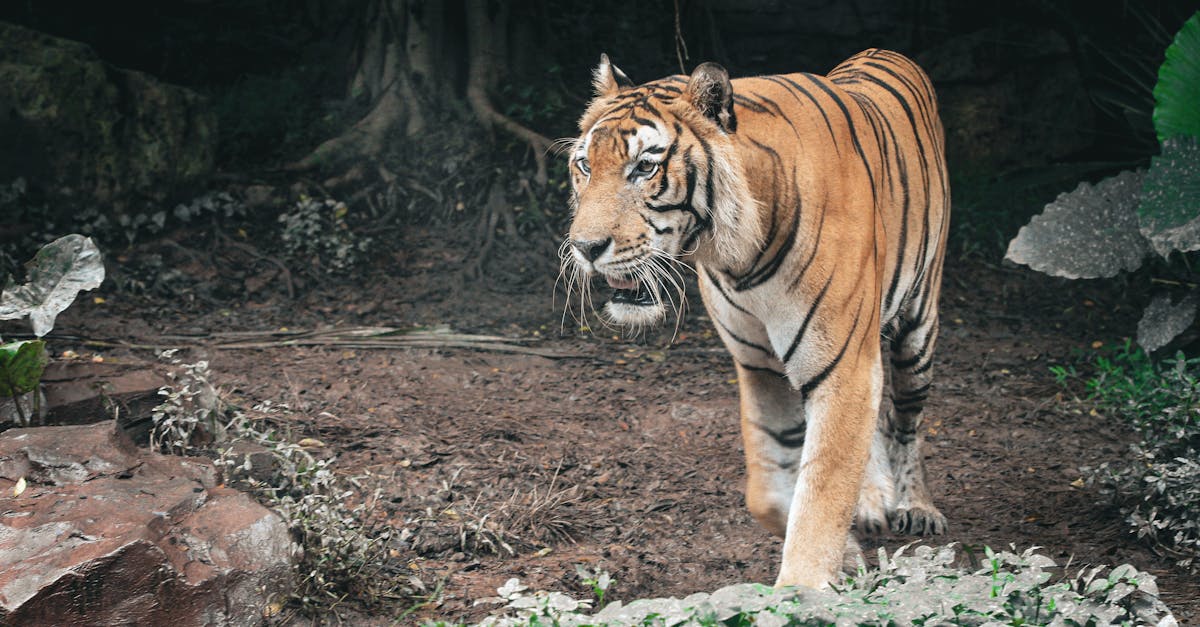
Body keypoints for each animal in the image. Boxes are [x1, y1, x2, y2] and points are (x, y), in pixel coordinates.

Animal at [561, 49, 950, 589]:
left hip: (917, 331)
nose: (585, 247)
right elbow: (770, 493)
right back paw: (872, 502)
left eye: (644, 167)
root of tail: (885, 51)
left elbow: (822, 485)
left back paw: (917, 506)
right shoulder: (760, 365)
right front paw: (848, 556)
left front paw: (805, 586)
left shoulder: (841, 365)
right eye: (584, 164)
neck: (739, 254)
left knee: (906, 419)